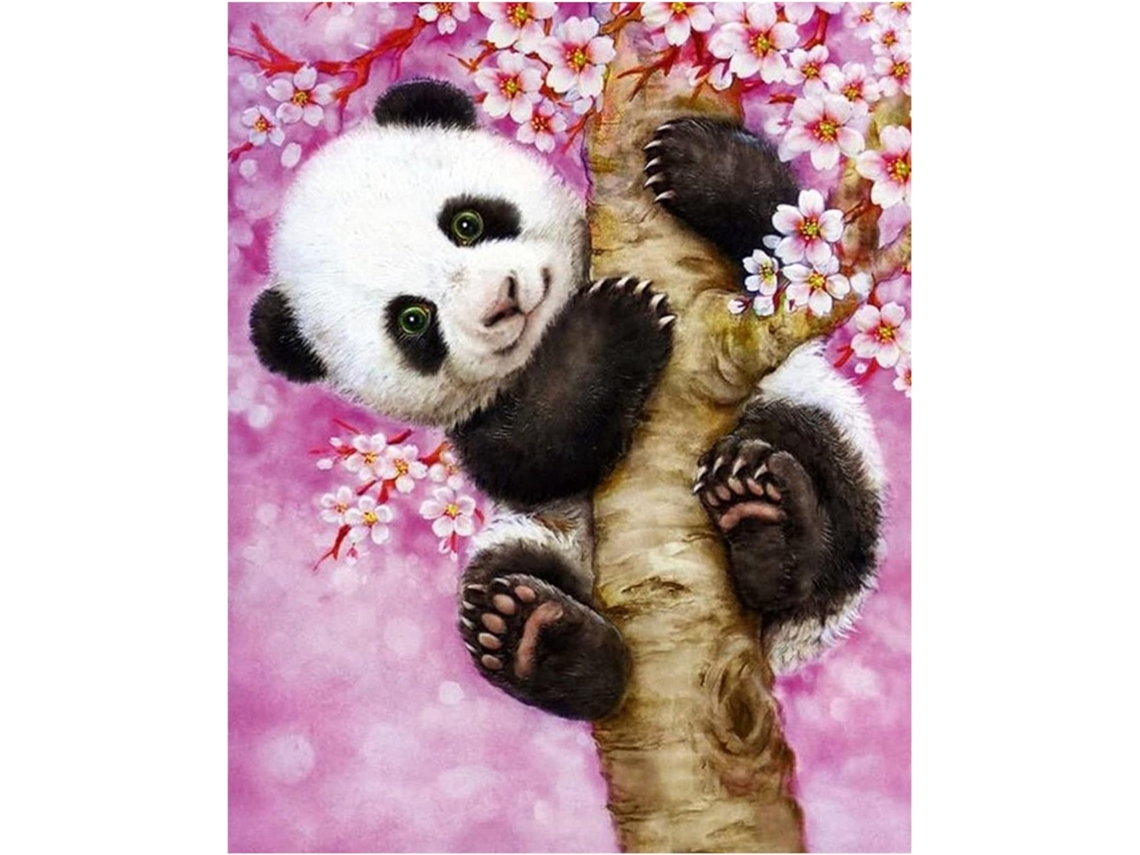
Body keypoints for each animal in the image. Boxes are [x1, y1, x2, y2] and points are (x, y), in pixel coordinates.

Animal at [250, 79, 884, 721]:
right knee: (501, 580)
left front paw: (696, 160)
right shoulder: (478, 422)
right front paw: (611, 324)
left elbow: (795, 248)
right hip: (538, 542)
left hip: (821, 428)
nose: (502, 300)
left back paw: (766, 523)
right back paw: (543, 641)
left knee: (815, 468)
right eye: (413, 319)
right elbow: (532, 455)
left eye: (466, 222)